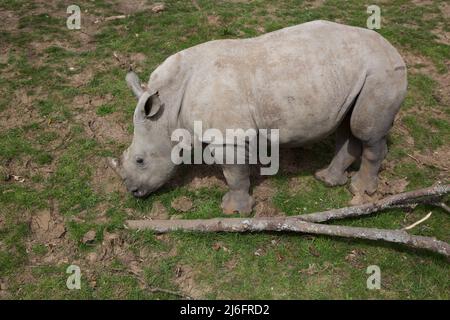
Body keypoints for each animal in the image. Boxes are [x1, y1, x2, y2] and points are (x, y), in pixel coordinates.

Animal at [109, 21, 408, 214]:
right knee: (348, 128)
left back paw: (361, 191)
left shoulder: (228, 137)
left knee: (365, 130)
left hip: (382, 72)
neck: (169, 108)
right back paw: (326, 179)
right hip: (357, 75)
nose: (133, 192)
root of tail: (394, 49)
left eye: (140, 160)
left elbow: (233, 174)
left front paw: (233, 212)